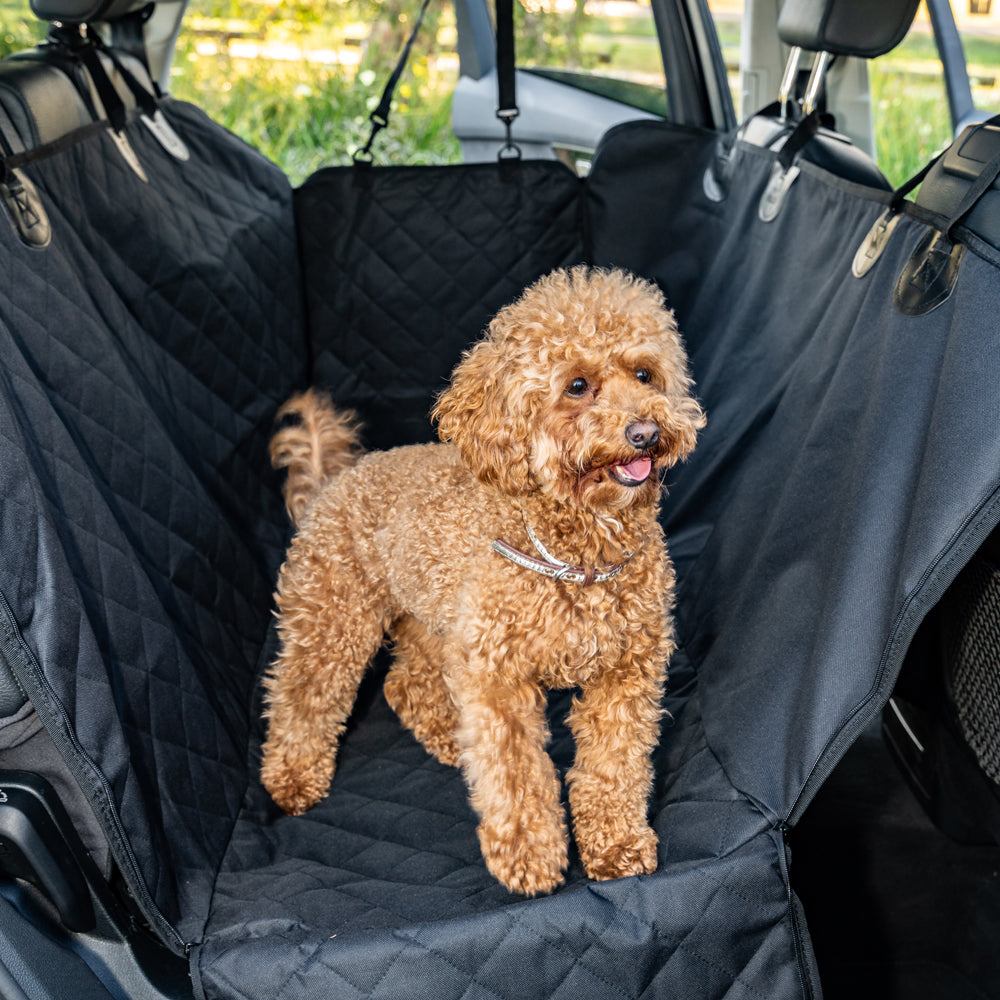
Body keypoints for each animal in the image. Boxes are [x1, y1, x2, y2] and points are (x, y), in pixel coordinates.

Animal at [262, 266, 708, 900]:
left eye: (645, 374)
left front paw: (616, 843)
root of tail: (336, 479)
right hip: (336, 616)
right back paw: (293, 776)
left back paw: (448, 735)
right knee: (304, 694)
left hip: (435, 619)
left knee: (405, 682)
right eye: (577, 386)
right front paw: (529, 857)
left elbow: (614, 765)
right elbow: (514, 770)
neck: (577, 551)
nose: (645, 432)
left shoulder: (626, 674)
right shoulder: (498, 677)